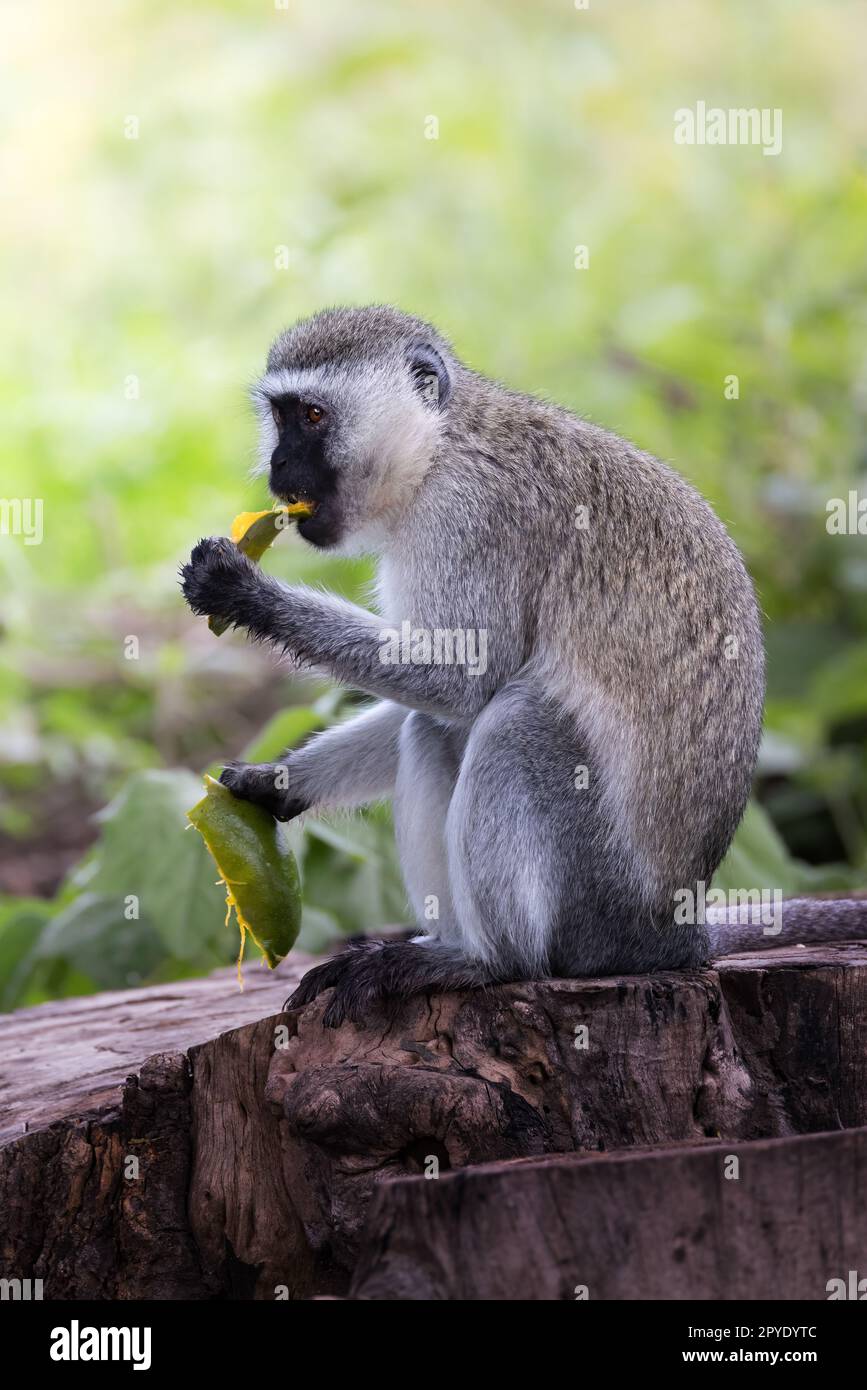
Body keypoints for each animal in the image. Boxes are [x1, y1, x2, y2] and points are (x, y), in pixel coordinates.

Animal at [180, 305, 867, 1026]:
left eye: (312, 416)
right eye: (280, 416)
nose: (278, 463)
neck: (438, 448)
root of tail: (669, 932)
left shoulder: (471, 518)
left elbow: (463, 679)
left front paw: (243, 591)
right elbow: (441, 699)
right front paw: (273, 784)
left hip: (595, 898)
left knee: (515, 720)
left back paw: (487, 963)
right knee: (431, 729)